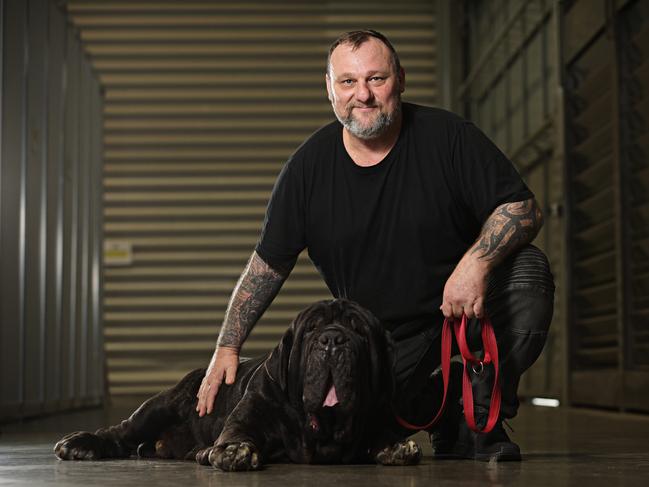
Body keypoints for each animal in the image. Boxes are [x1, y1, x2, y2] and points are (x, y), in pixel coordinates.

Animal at [54, 300, 420, 470]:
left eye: (360, 331)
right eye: (311, 330)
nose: (332, 339)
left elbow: (383, 435)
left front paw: (396, 446)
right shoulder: (251, 411)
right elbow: (238, 434)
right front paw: (232, 450)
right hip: (160, 406)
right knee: (120, 432)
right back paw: (80, 444)